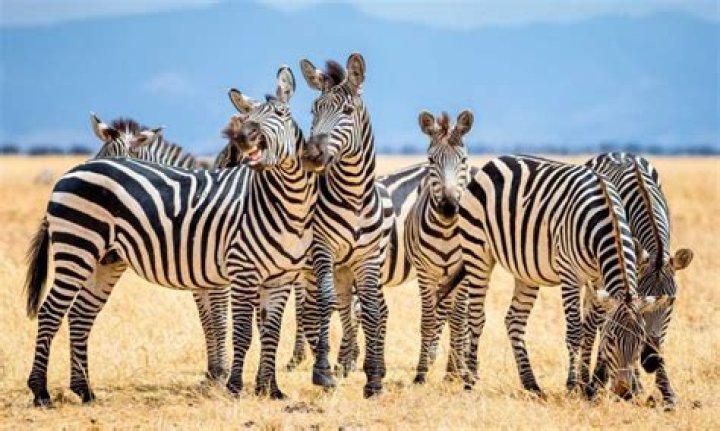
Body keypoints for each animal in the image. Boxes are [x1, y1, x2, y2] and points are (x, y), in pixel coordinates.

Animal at [90, 113, 231, 383]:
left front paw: (221, 373)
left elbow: (220, 319)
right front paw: (211, 372)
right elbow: (206, 321)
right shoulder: (199, 282)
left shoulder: (219, 280)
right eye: (98, 156)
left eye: (119, 162)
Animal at [298, 53, 394, 398]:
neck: (354, 196)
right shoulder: (323, 249)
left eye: (348, 112)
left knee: (365, 309)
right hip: (323, 269)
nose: (311, 156)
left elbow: (371, 310)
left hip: (352, 267)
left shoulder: (367, 258)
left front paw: (374, 379)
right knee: (325, 308)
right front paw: (323, 372)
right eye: (313, 109)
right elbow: (325, 305)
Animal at [404, 110, 475, 387]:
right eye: (431, 160)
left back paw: (456, 369)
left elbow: (458, 322)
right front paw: (421, 372)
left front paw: (460, 372)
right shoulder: (425, 273)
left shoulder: (463, 274)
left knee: (461, 318)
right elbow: (428, 320)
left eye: (463, 159)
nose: (448, 207)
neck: (446, 231)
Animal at [456, 155, 666, 399]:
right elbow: (575, 331)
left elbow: (589, 330)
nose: (624, 393)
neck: (605, 219)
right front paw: (573, 385)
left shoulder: (598, 280)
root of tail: (494, 162)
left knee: (514, 320)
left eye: (640, 341)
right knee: (476, 316)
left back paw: (531, 384)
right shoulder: (569, 274)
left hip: (526, 271)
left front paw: (587, 386)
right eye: (611, 340)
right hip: (477, 251)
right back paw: (470, 380)